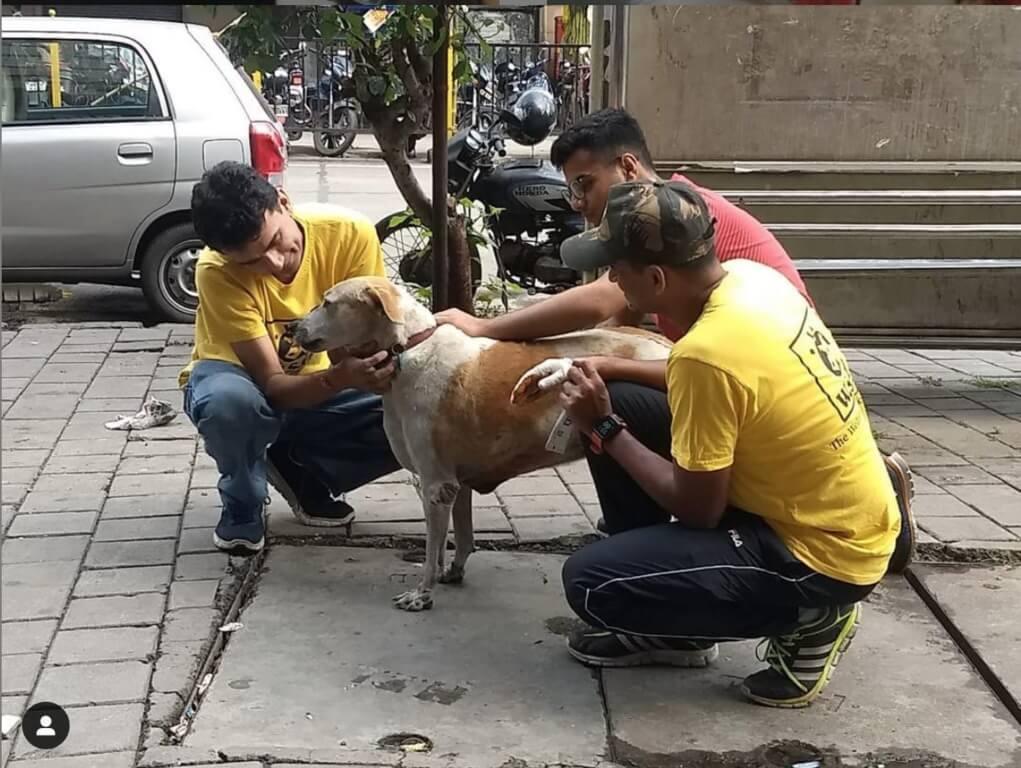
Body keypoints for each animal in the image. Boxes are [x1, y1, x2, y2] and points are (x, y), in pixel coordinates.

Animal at [287, 277, 669, 612]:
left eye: (328, 302)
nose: (291, 328)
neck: (408, 349)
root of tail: (665, 346)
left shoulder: (436, 485)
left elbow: (432, 550)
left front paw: (423, 594)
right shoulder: (457, 485)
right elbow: (461, 538)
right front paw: (451, 572)